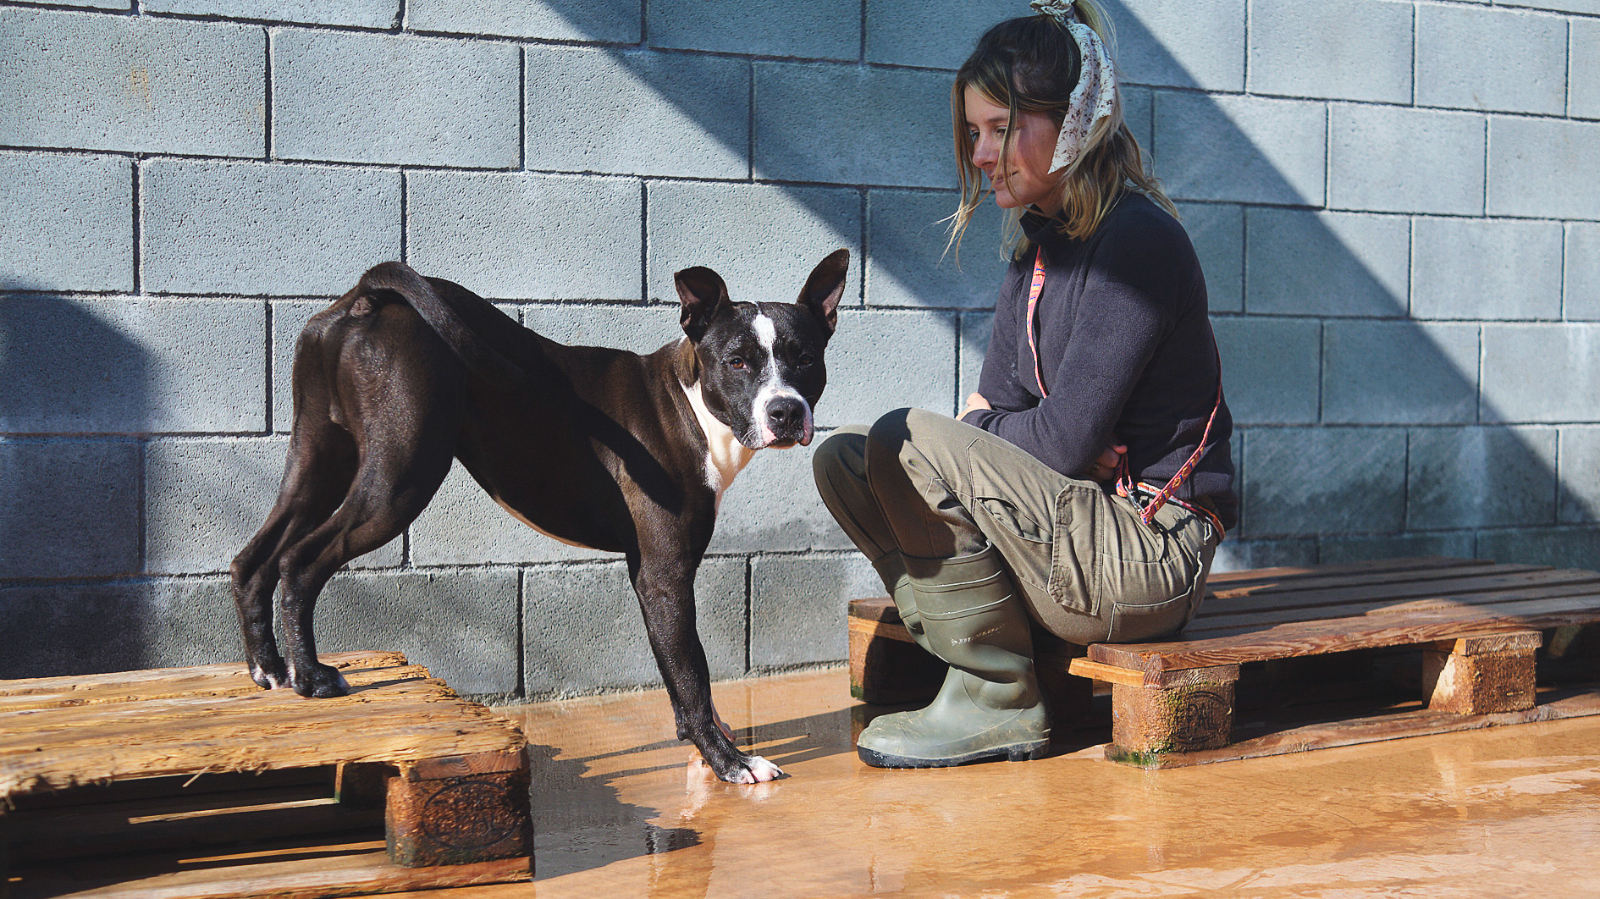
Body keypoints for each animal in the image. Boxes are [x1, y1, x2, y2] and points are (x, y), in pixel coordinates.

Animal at [230, 251, 848, 784]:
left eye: (806, 359)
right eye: (738, 361)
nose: (786, 411)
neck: (690, 402)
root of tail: (365, 299)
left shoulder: (654, 573)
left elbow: (679, 670)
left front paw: (703, 747)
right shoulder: (664, 574)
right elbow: (693, 672)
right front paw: (728, 762)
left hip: (317, 458)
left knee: (253, 558)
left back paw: (269, 669)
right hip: (398, 479)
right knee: (299, 559)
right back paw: (311, 677)